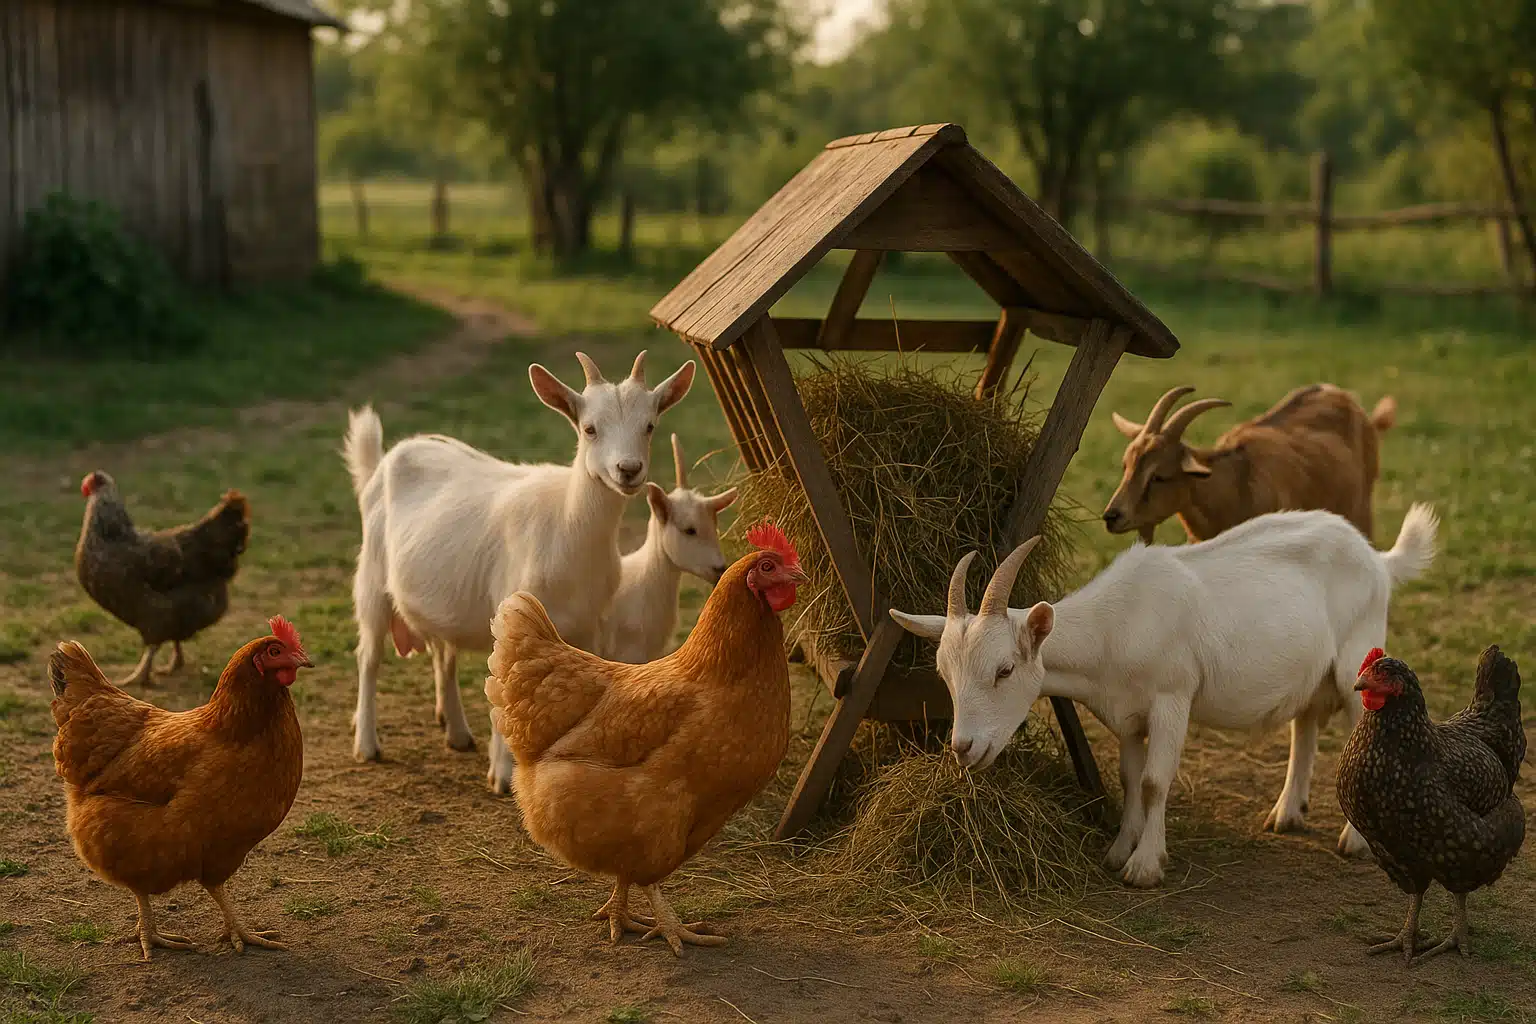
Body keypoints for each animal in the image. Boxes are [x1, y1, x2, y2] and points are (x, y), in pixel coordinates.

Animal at [343, 351, 695, 793]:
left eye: (649, 425)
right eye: (589, 428)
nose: (628, 470)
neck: (566, 523)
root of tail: (388, 457)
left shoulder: (590, 625)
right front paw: (503, 775)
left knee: (444, 652)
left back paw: (457, 733)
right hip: (372, 578)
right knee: (369, 655)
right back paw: (367, 743)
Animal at [890, 504, 1438, 888]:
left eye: (1004, 670)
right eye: (944, 675)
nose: (963, 748)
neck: (1116, 625)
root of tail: (1378, 560)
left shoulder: (1173, 696)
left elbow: (1155, 781)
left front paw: (1145, 866)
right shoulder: (1128, 713)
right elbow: (1130, 778)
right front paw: (1118, 850)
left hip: (1355, 663)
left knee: (1360, 728)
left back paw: (1355, 841)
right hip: (1312, 673)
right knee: (1303, 725)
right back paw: (1286, 814)